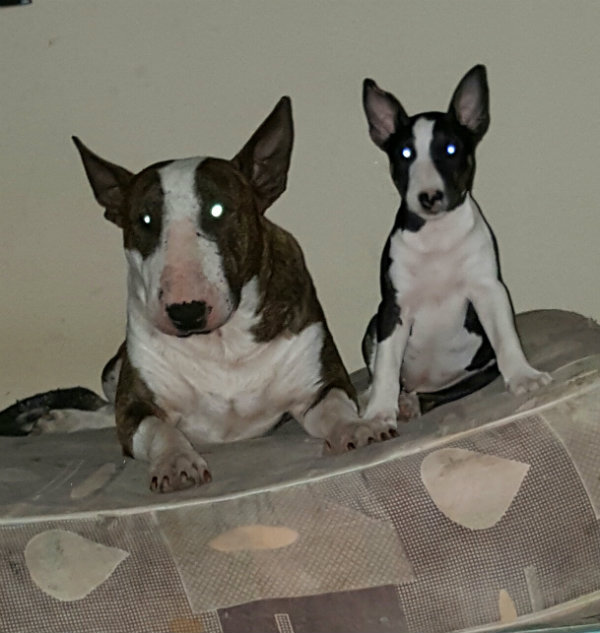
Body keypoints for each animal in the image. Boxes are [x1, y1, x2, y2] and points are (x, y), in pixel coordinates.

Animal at [7, 97, 397, 492]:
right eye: (144, 220)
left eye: (217, 209)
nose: (186, 312)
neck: (221, 344)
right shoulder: (138, 406)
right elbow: (156, 428)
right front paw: (176, 462)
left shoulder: (320, 386)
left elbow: (337, 407)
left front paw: (357, 428)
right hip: (113, 368)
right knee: (110, 408)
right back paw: (58, 420)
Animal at [360, 65, 551, 425]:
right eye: (405, 153)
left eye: (451, 149)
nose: (429, 197)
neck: (436, 235)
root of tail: (422, 382)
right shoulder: (393, 307)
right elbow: (386, 366)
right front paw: (378, 414)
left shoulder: (488, 289)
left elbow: (506, 337)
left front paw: (524, 376)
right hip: (372, 326)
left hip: (478, 373)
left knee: (437, 396)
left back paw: (413, 403)